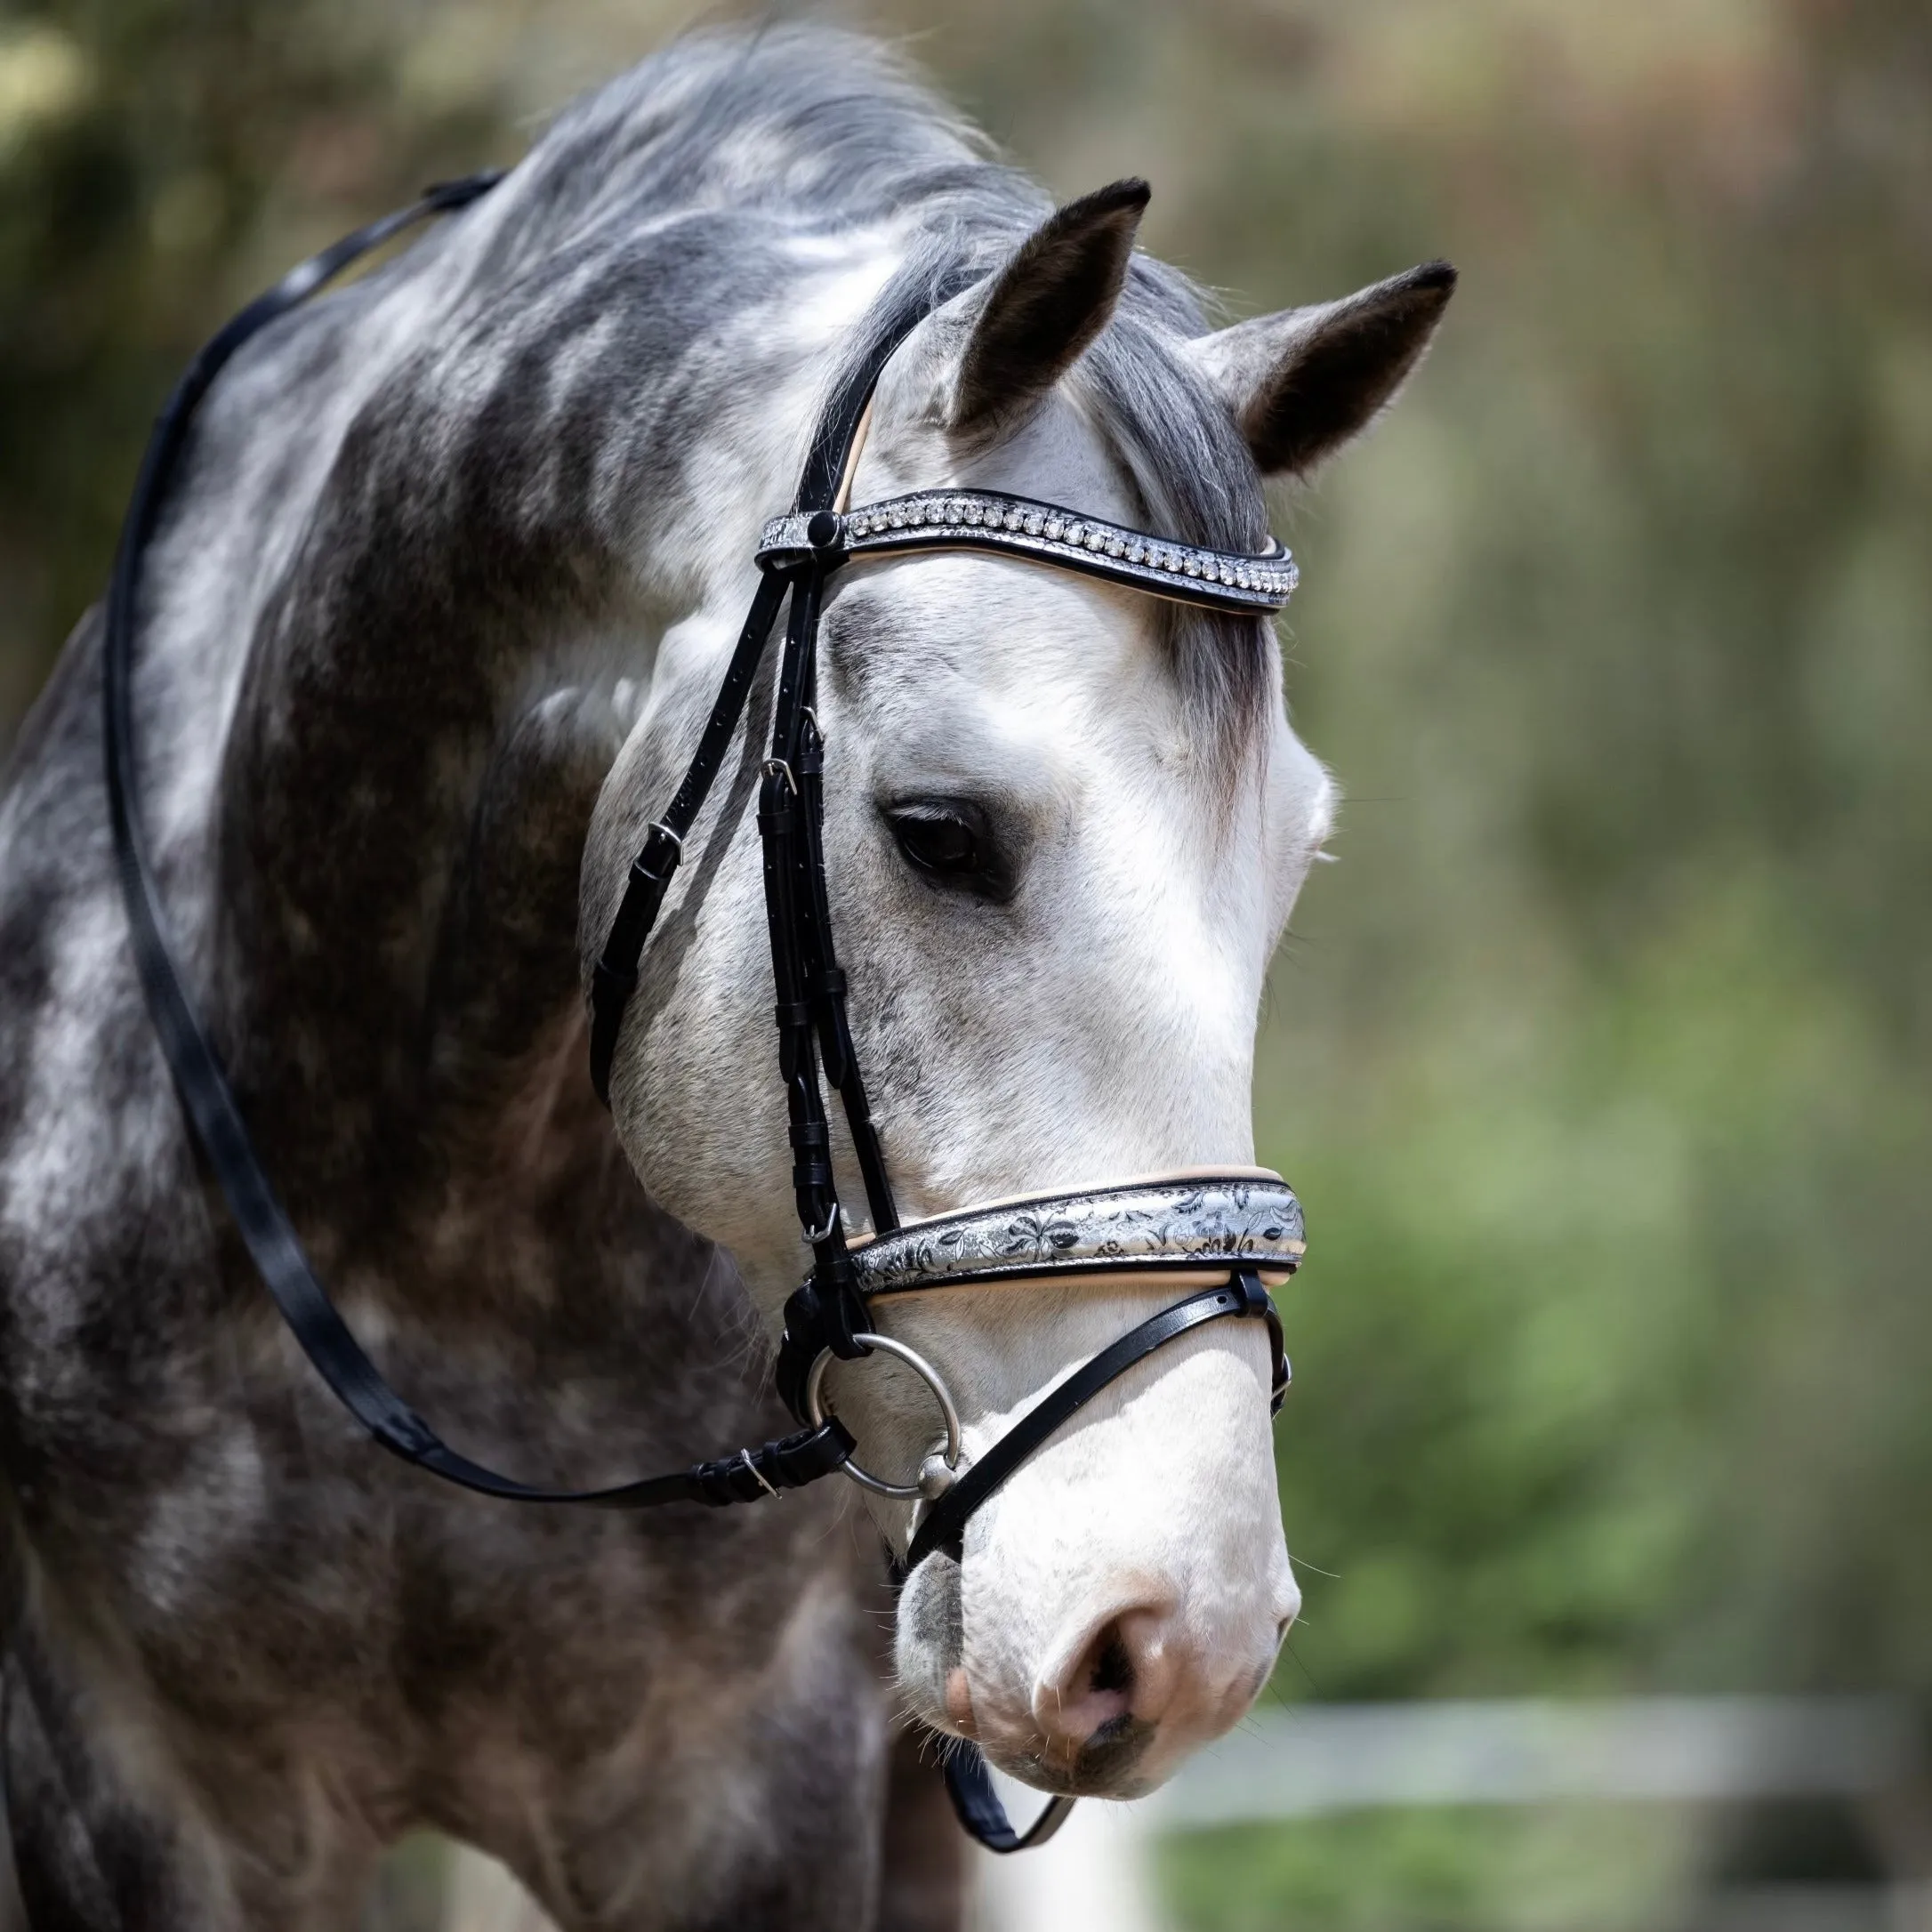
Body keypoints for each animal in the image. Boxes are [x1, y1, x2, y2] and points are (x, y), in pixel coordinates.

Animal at [0, 26, 1453, 1932]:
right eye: (937, 830)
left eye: (1287, 868)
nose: (1176, 1632)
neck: (405, 1229)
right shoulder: (133, 1785)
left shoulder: (742, 1797)